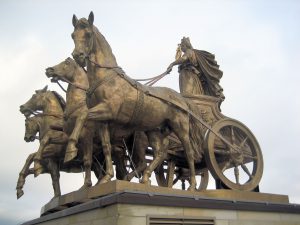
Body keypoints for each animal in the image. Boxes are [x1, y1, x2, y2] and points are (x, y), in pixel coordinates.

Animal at [69, 12, 203, 191]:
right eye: (73, 35)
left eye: (88, 34)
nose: (78, 56)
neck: (106, 78)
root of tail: (181, 99)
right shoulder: (103, 120)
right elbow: (106, 146)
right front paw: (107, 177)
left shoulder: (107, 110)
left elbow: (82, 115)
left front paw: (70, 149)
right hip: (154, 130)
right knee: (160, 153)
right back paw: (145, 177)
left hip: (180, 128)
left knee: (189, 153)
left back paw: (192, 185)